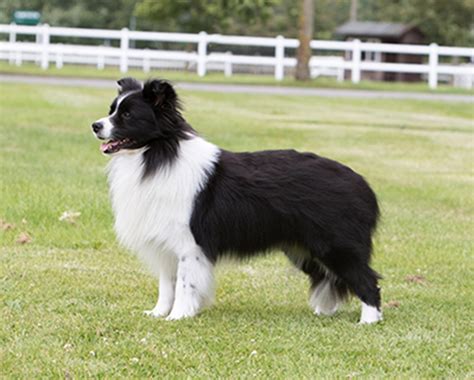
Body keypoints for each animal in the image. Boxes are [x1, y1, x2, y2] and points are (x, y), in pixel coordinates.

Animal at [90, 78, 384, 324]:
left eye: (127, 115)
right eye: (111, 110)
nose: (95, 125)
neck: (157, 153)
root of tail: (363, 185)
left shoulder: (189, 246)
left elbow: (185, 284)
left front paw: (178, 316)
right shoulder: (165, 244)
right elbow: (166, 285)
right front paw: (158, 313)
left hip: (336, 246)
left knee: (367, 280)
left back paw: (369, 320)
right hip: (304, 249)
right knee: (329, 278)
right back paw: (325, 313)